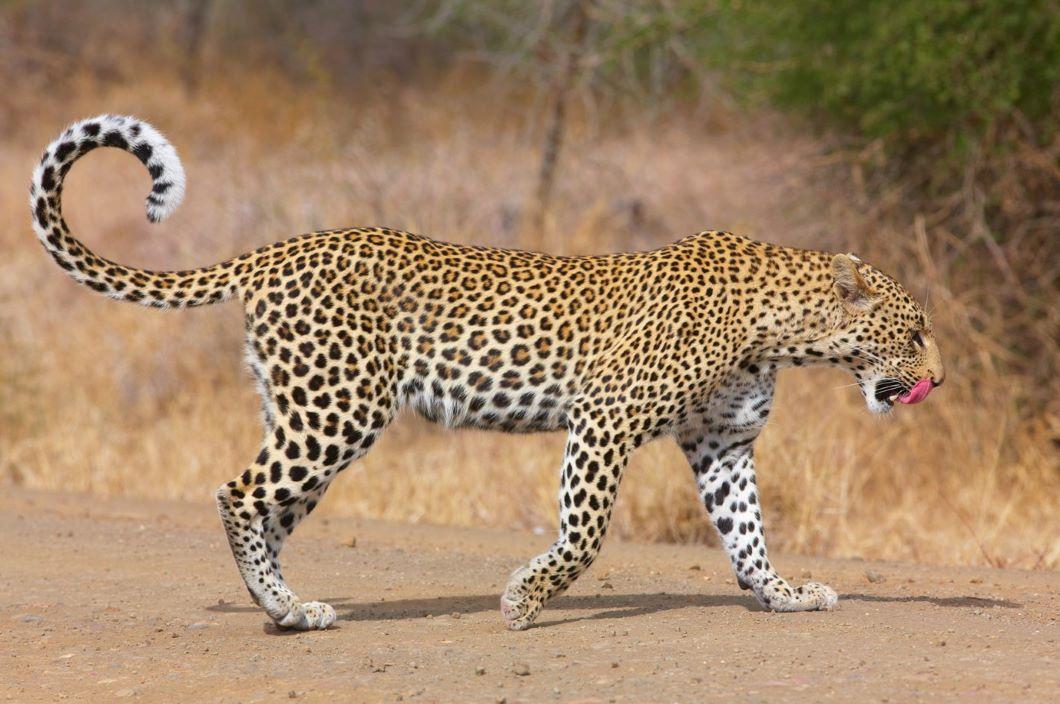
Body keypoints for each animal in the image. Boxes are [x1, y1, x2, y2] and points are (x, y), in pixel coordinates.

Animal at [29, 115, 945, 631]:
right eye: (916, 329)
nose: (941, 377)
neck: (779, 328)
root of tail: (276, 249)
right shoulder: (606, 419)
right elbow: (585, 533)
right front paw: (525, 602)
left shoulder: (722, 444)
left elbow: (748, 536)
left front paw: (785, 595)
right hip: (338, 409)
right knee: (238, 494)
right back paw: (284, 608)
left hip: (307, 412)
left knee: (272, 510)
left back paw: (289, 609)